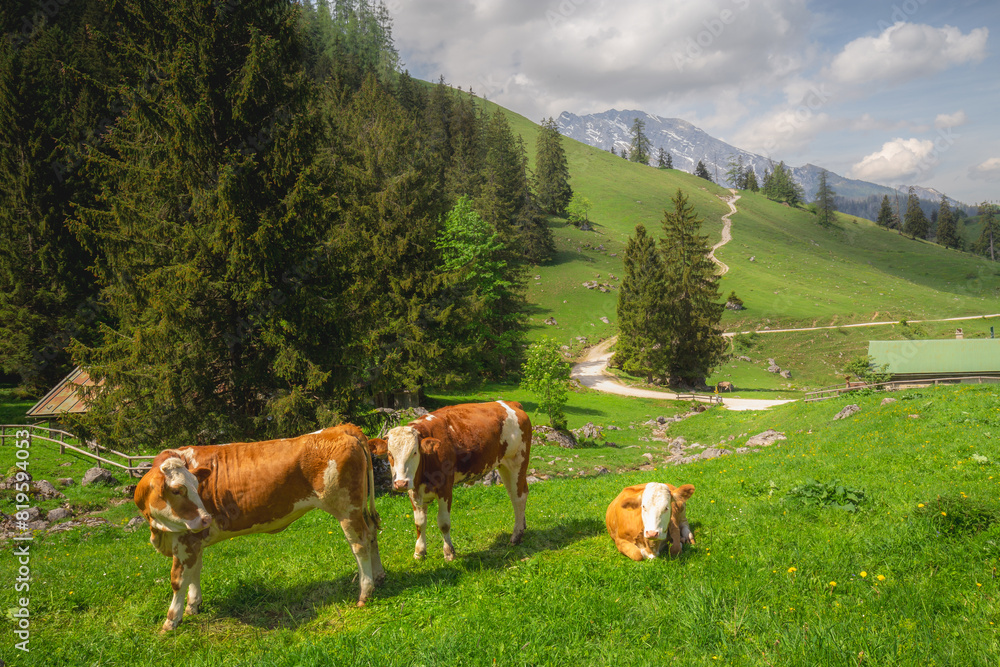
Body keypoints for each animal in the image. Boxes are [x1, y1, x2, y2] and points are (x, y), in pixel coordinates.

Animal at [134, 426, 382, 636]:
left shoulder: (185, 539)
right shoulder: (194, 539)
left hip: (347, 509)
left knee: (359, 543)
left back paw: (365, 591)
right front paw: (193, 605)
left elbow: (179, 579)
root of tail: (341, 428)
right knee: (372, 534)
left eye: (196, 486)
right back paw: (379, 576)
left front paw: (171, 620)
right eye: (177, 490)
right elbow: (195, 571)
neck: (159, 531)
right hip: (359, 509)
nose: (206, 518)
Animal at [374, 402, 532, 564]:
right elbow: (419, 523)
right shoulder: (413, 491)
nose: (400, 483)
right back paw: (522, 525)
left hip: (517, 461)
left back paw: (516, 535)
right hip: (504, 465)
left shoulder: (445, 488)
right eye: (390, 454)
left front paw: (449, 552)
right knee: (513, 495)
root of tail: (508, 403)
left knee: (520, 496)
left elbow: (443, 523)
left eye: (414, 452)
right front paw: (419, 552)